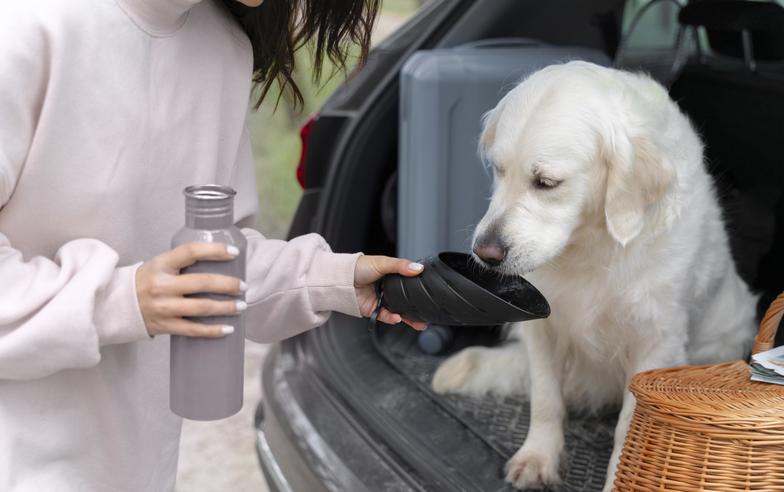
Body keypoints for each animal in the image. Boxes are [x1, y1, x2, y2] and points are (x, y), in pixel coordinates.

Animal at [432, 62, 756, 492]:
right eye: (499, 170)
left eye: (546, 182)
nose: (484, 253)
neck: (592, 243)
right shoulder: (541, 326)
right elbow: (545, 399)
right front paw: (538, 458)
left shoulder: (656, 342)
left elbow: (630, 427)